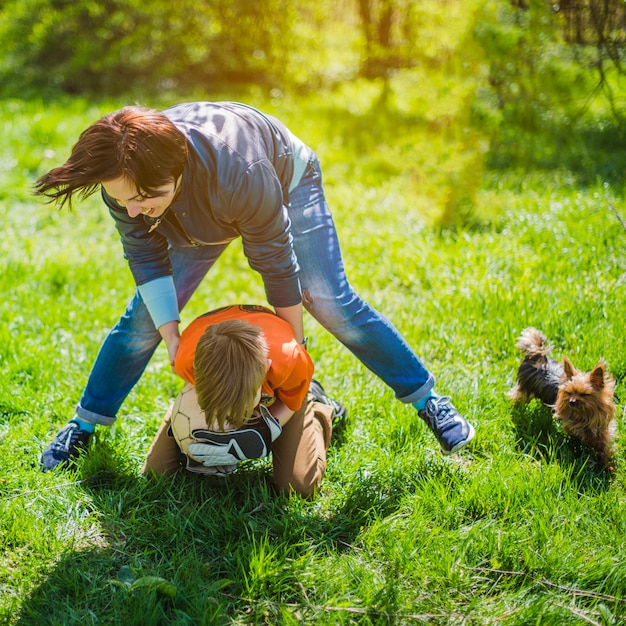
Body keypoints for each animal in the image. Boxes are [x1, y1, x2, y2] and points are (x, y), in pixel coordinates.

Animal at [508, 326, 616, 468]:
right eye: (569, 392)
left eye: (585, 394)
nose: (571, 402)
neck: (585, 413)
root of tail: (537, 357)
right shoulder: (572, 424)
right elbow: (585, 434)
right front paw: (595, 446)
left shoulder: (602, 424)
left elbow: (604, 441)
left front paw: (607, 463)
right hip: (524, 390)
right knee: (515, 396)